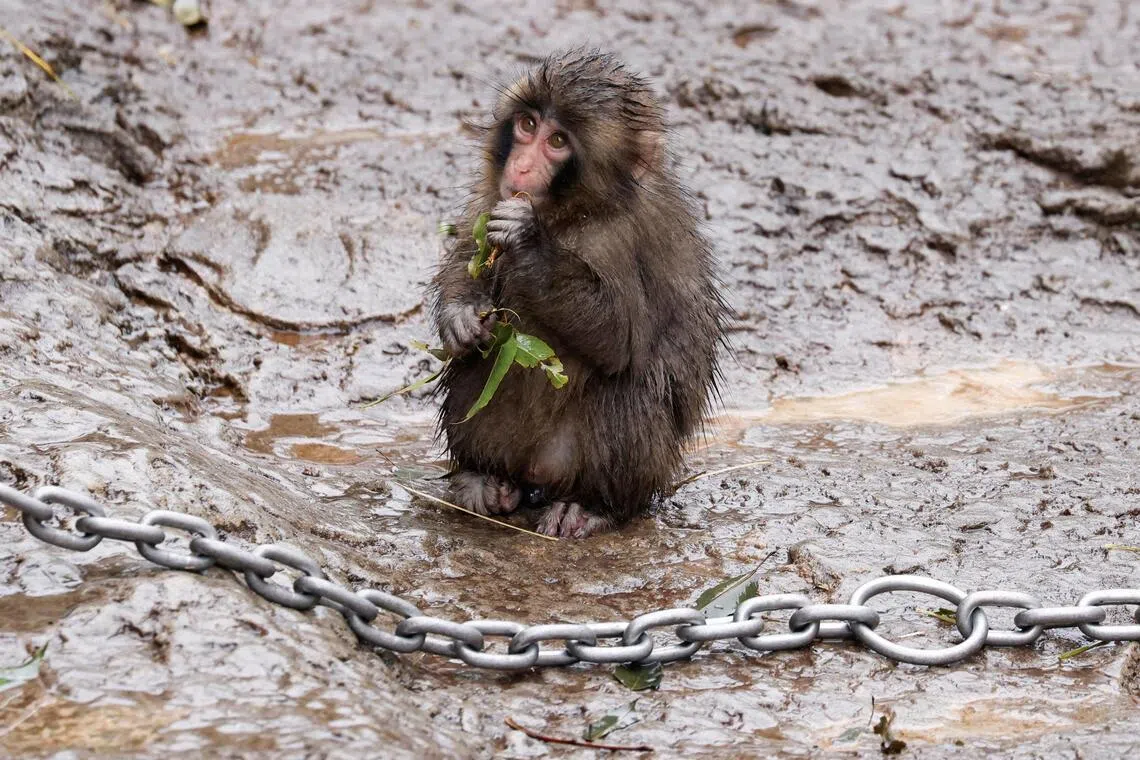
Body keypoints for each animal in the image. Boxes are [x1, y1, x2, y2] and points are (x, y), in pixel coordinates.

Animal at [430, 50, 726, 538]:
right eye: (528, 124)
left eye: (557, 141)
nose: (521, 167)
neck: (572, 214)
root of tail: (536, 475)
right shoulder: (492, 195)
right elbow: (468, 257)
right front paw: (460, 318)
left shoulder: (621, 239)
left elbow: (621, 338)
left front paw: (529, 244)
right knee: (482, 361)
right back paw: (483, 477)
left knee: (627, 393)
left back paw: (592, 505)